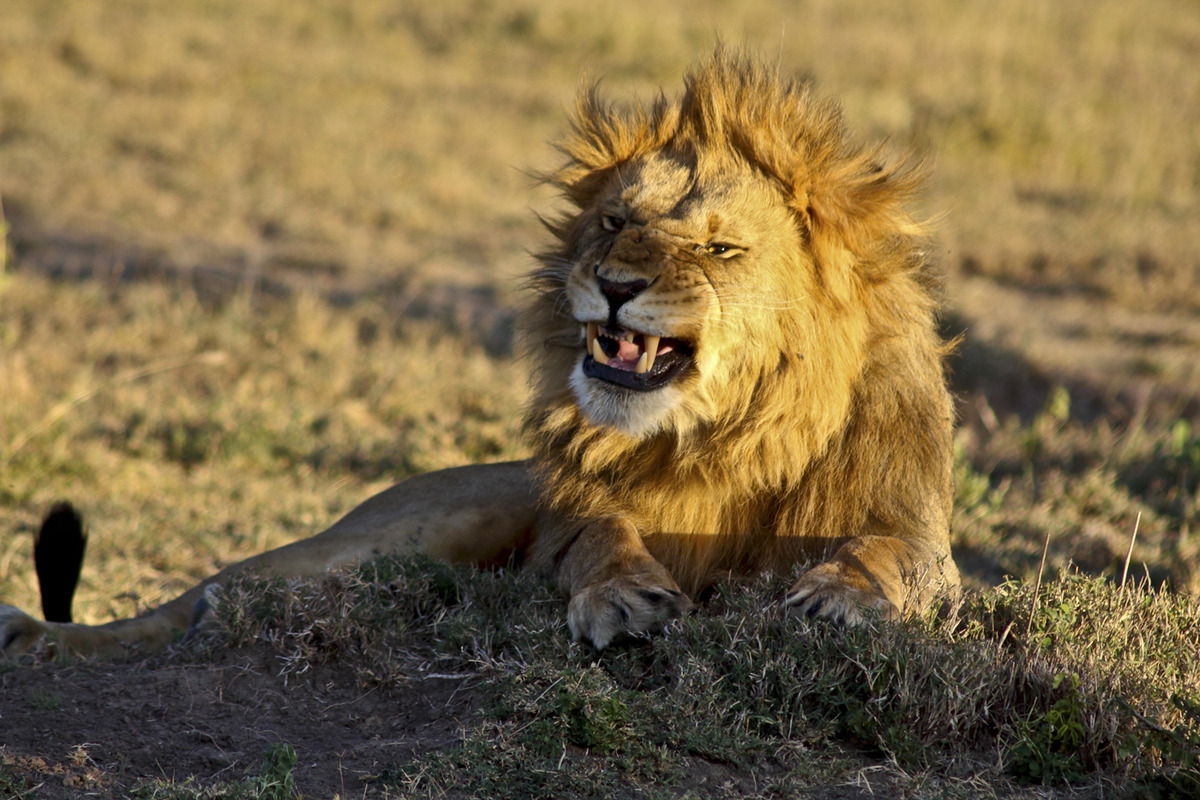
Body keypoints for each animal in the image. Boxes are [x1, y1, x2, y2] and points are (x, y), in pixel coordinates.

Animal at [0, 50, 955, 662]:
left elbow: (893, 555)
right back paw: (39, 636)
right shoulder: (574, 520)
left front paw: (841, 596)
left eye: (720, 250)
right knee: (200, 597)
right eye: (614, 220)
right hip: (394, 532)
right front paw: (621, 596)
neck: (716, 441)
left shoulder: (920, 542)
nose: (613, 283)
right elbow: (599, 537)